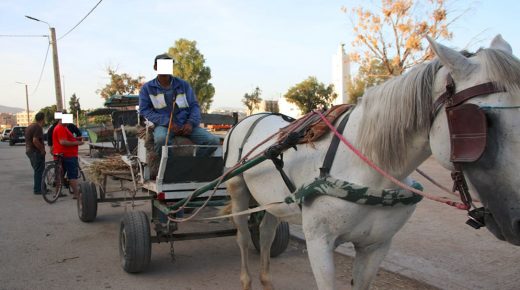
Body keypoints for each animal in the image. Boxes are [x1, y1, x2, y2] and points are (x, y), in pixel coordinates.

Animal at [223, 35, 520, 288]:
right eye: (478, 123)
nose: (518, 222)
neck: (367, 168)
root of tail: (251, 117)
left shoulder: (376, 247)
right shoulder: (319, 244)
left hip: (272, 202)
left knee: (266, 232)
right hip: (238, 190)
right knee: (242, 236)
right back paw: (246, 279)